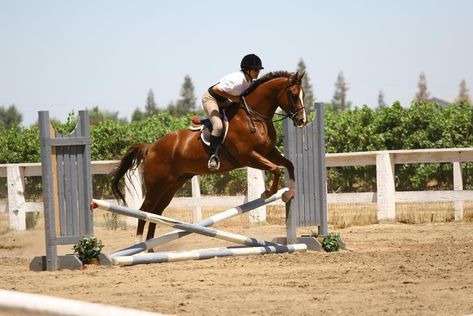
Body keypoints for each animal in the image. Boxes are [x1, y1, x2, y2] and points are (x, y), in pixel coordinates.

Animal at [110, 70, 306, 241]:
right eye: (293, 94)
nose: (302, 121)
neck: (254, 117)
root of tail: (151, 147)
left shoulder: (268, 152)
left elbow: (289, 165)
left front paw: (290, 192)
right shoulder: (248, 156)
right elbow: (275, 169)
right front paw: (267, 193)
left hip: (173, 184)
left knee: (156, 213)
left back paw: (150, 248)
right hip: (157, 184)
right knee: (145, 209)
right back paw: (139, 243)